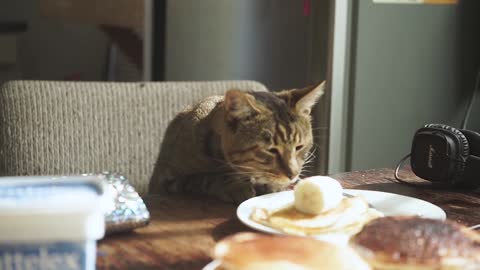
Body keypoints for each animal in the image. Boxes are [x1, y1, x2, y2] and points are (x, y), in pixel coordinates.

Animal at [148, 81, 324, 204]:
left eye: (299, 147)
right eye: (271, 150)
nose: (293, 175)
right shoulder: (168, 179)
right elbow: (208, 177)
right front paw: (235, 186)